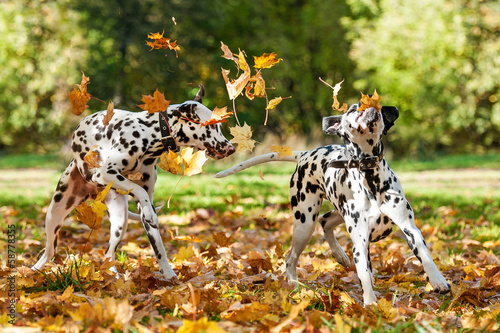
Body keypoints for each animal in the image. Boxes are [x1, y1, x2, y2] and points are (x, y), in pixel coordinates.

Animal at [34, 84, 235, 278]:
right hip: (55, 213)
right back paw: (34, 271)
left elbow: (158, 244)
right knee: (50, 251)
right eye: (211, 127)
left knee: (109, 254)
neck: (151, 134)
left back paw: (113, 277)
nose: (231, 148)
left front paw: (169, 275)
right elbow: (139, 191)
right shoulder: (105, 173)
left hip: (119, 220)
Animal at [217, 100, 452, 304]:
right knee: (292, 256)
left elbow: (424, 255)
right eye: (353, 108)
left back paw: (339, 255)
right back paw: (294, 286)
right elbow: (365, 275)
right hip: (305, 222)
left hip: (337, 212)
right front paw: (370, 305)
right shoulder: (360, 241)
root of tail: (305, 153)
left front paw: (438, 281)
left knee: (325, 221)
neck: (370, 175)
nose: (368, 105)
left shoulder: (409, 228)